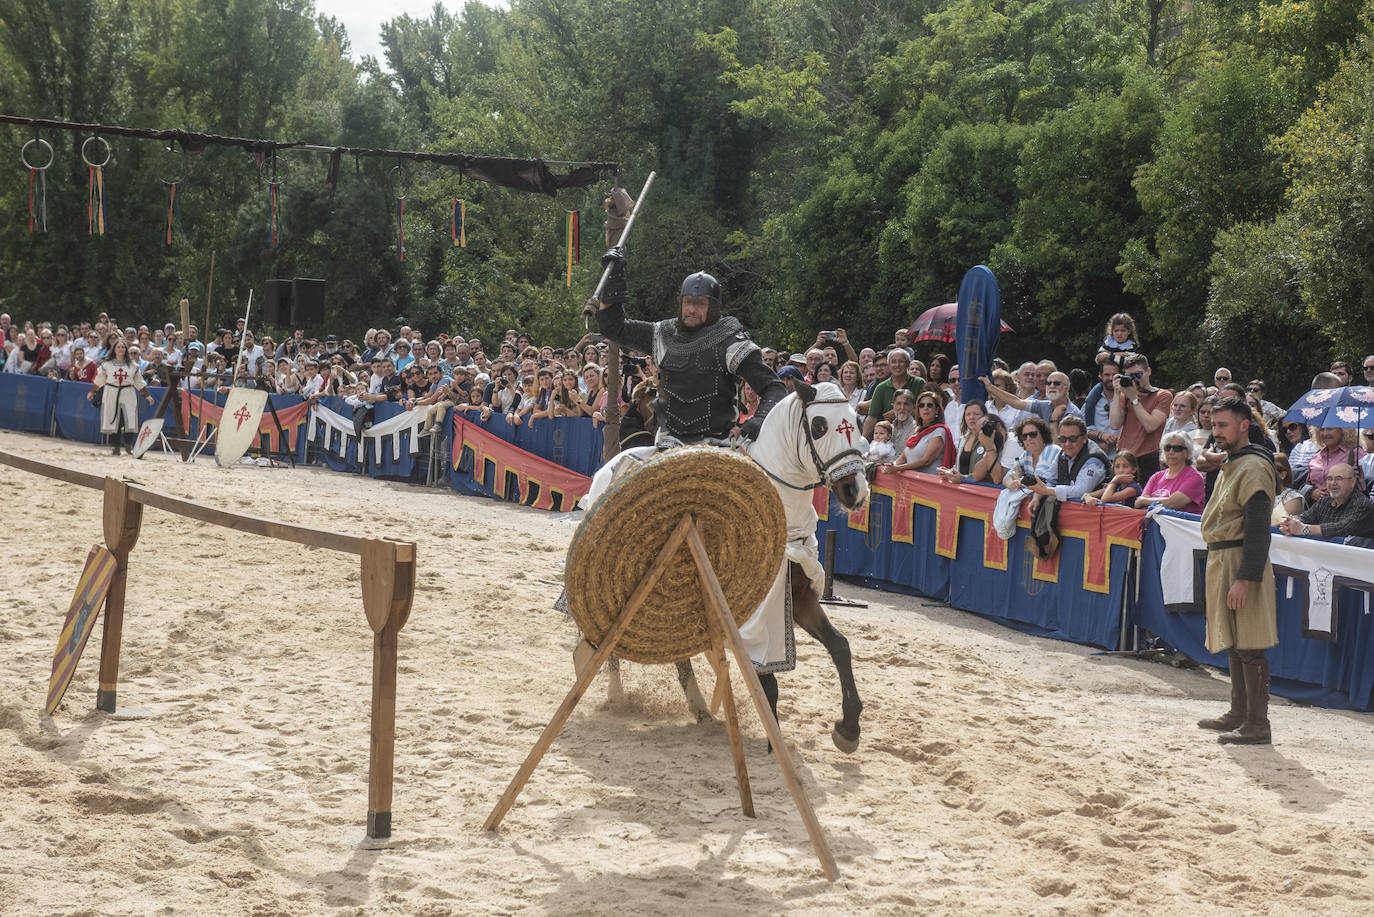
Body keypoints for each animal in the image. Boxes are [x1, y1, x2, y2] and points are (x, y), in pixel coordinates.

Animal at [582, 382, 868, 753]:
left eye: (856, 422)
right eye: (819, 426)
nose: (854, 491)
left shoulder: (800, 599)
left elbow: (840, 647)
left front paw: (848, 728)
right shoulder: (749, 613)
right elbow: (767, 677)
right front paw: (773, 738)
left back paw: (700, 707)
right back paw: (617, 694)